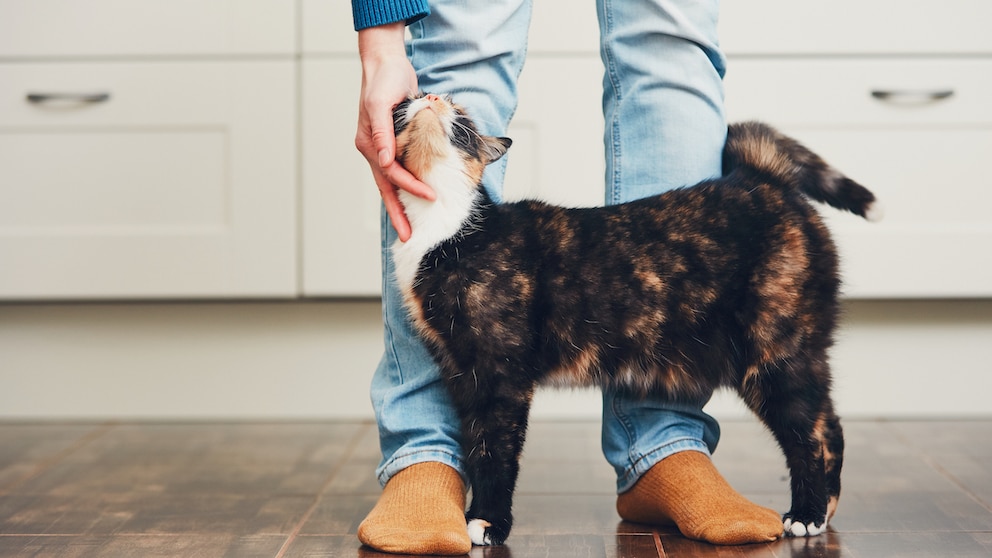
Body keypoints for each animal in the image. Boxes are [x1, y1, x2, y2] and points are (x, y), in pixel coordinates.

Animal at [392, 92, 880, 548]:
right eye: (409, 101)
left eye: (462, 117)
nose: (430, 96)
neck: (445, 229)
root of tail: (760, 178)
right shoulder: (461, 373)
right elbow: (476, 447)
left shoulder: (501, 375)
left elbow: (497, 451)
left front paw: (489, 523)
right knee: (829, 425)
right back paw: (824, 510)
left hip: (775, 353)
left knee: (810, 434)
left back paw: (807, 515)